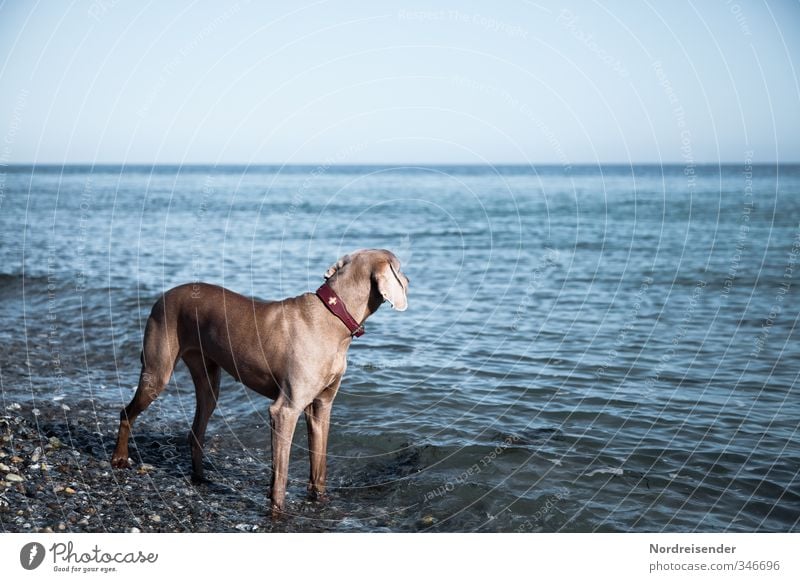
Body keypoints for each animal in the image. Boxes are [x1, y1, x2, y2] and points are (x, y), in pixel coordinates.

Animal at [111, 249, 410, 512]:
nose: (408, 281)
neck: (333, 317)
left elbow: (319, 467)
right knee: (126, 412)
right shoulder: (285, 409)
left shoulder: (321, 406)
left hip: (208, 381)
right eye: (400, 268)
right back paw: (119, 458)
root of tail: (161, 297)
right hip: (157, 371)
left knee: (196, 429)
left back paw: (200, 478)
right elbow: (281, 474)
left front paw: (319, 501)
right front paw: (277, 511)